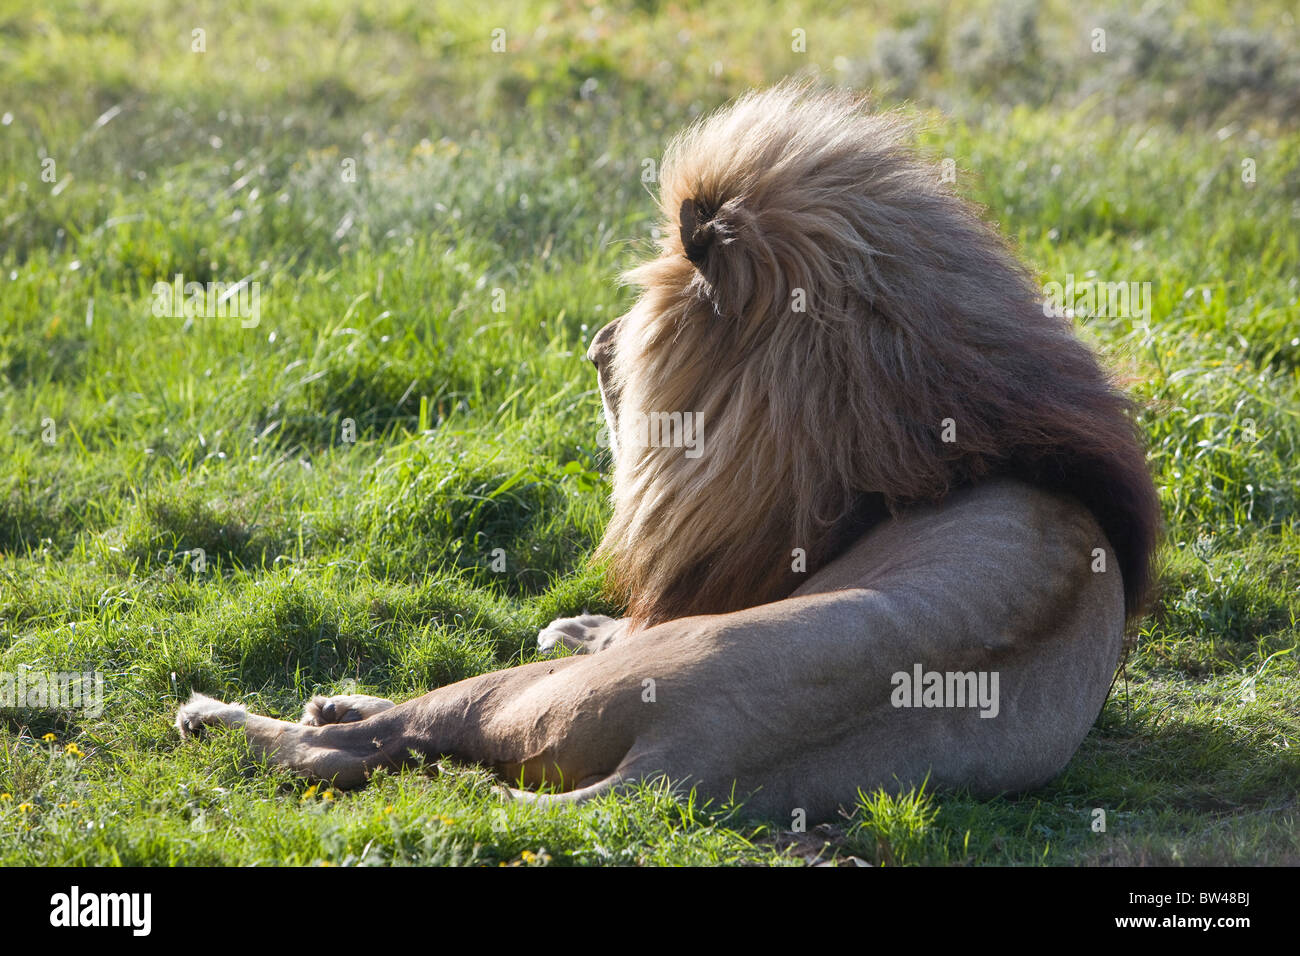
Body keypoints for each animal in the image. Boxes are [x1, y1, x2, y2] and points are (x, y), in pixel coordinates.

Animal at [177, 83, 1161, 823]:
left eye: (641, 314)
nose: (594, 343)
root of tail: (681, 767)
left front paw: (578, 622)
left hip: (524, 690)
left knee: (353, 746)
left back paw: (230, 715)